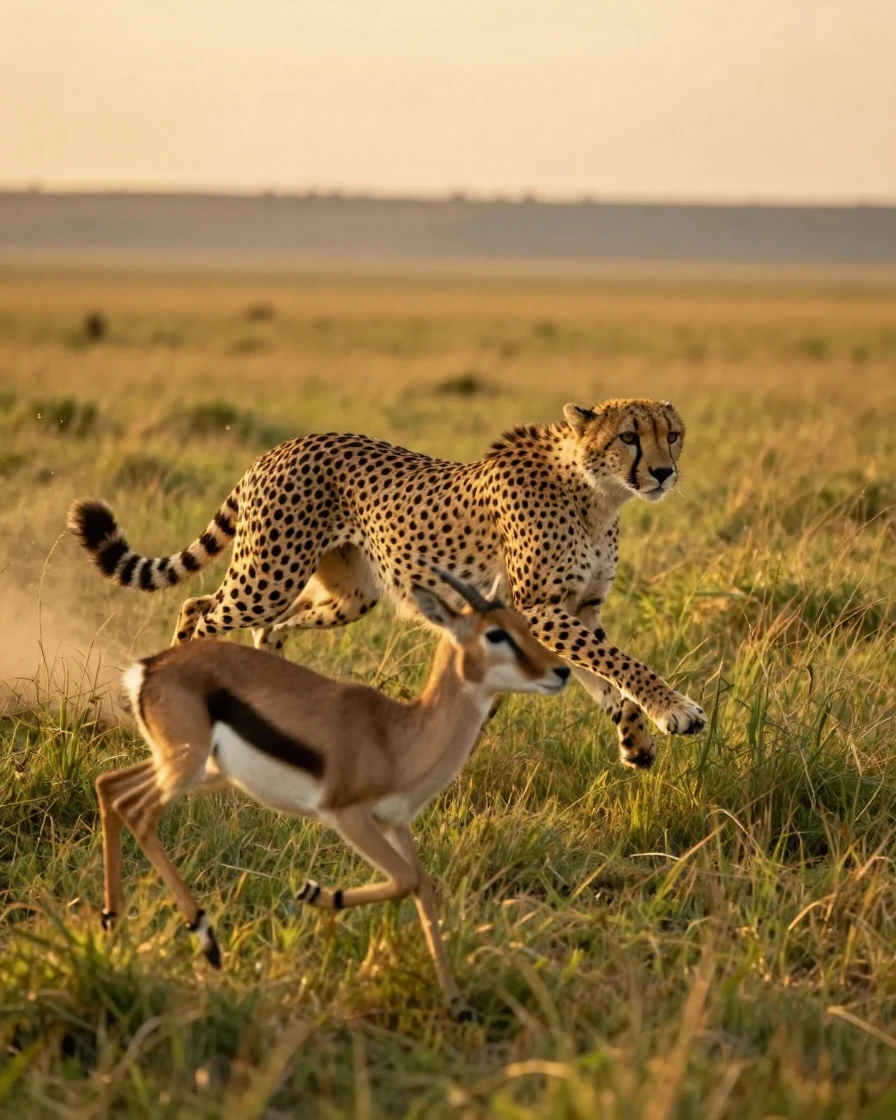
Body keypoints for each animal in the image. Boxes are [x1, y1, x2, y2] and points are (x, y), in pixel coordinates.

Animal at [68, 397, 705, 769]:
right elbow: (624, 664)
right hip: (267, 575)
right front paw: (675, 711)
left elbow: (609, 675)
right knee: (198, 610)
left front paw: (636, 738)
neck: (598, 493)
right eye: (629, 437)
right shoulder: (540, 608)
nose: (663, 471)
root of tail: (282, 446)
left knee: (267, 626)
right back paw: (172, 719)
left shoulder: (577, 608)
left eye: (672, 434)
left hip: (349, 594)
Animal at [96, 570, 570, 1017]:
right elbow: (405, 879)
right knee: (135, 809)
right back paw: (205, 940)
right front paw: (317, 893)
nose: (560, 671)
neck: (396, 737)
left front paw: (458, 1004)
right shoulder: (348, 816)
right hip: (185, 769)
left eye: (523, 624)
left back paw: (114, 924)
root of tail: (148, 668)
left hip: (195, 770)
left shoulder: (396, 824)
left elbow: (423, 887)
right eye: (495, 634)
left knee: (109, 787)